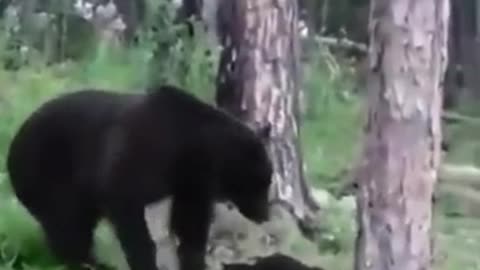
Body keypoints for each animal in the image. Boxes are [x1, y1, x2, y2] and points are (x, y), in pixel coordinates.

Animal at [6, 85, 274, 270]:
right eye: (261, 182)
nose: (265, 214)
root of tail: (11, 150)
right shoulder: (139, 156)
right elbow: (125, 206)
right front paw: (145, 261)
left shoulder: (190, 182)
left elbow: (190, 225)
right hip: (50, 174)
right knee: (68, 223)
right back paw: (91, 262)